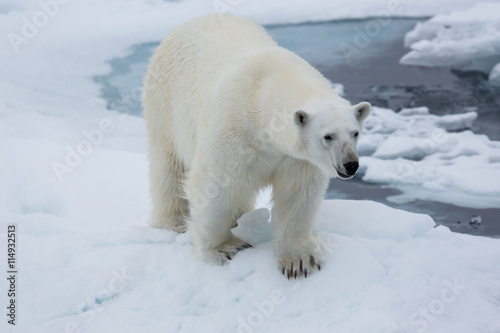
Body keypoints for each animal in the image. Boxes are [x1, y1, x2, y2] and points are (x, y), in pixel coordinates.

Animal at [143, 13, 370, 278]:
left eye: (355, 133)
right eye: (328, 136)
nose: (351, 164)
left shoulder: (296, 159)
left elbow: (297, 195)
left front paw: (300, 259)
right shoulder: (232, 129)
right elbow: (214, 186)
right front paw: (223, 248)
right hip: (165, 105)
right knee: (168, 168)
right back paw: (172, 223)